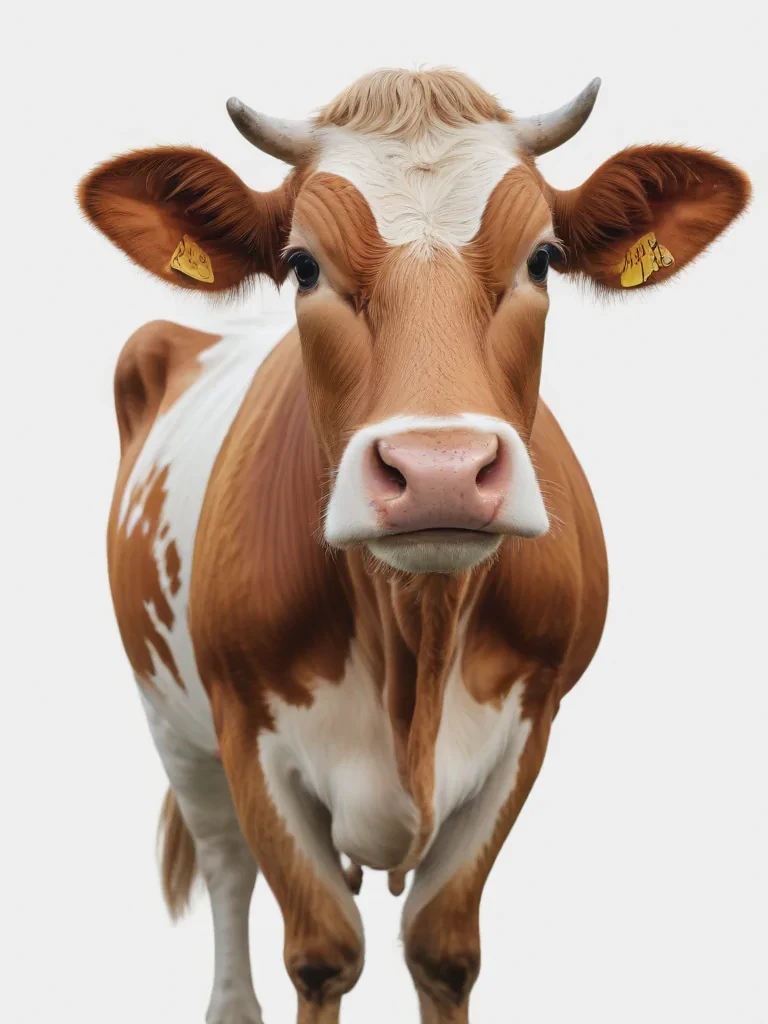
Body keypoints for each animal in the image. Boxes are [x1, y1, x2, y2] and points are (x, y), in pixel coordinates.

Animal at [78, 68, 750, 1024]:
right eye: (302, 264)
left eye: (542, 259)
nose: (440, 471)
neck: (413, 640)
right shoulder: (247, 731)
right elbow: (322, 950)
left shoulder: (530, 724)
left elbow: (442, 948)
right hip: (173, 722)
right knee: (224, 865)